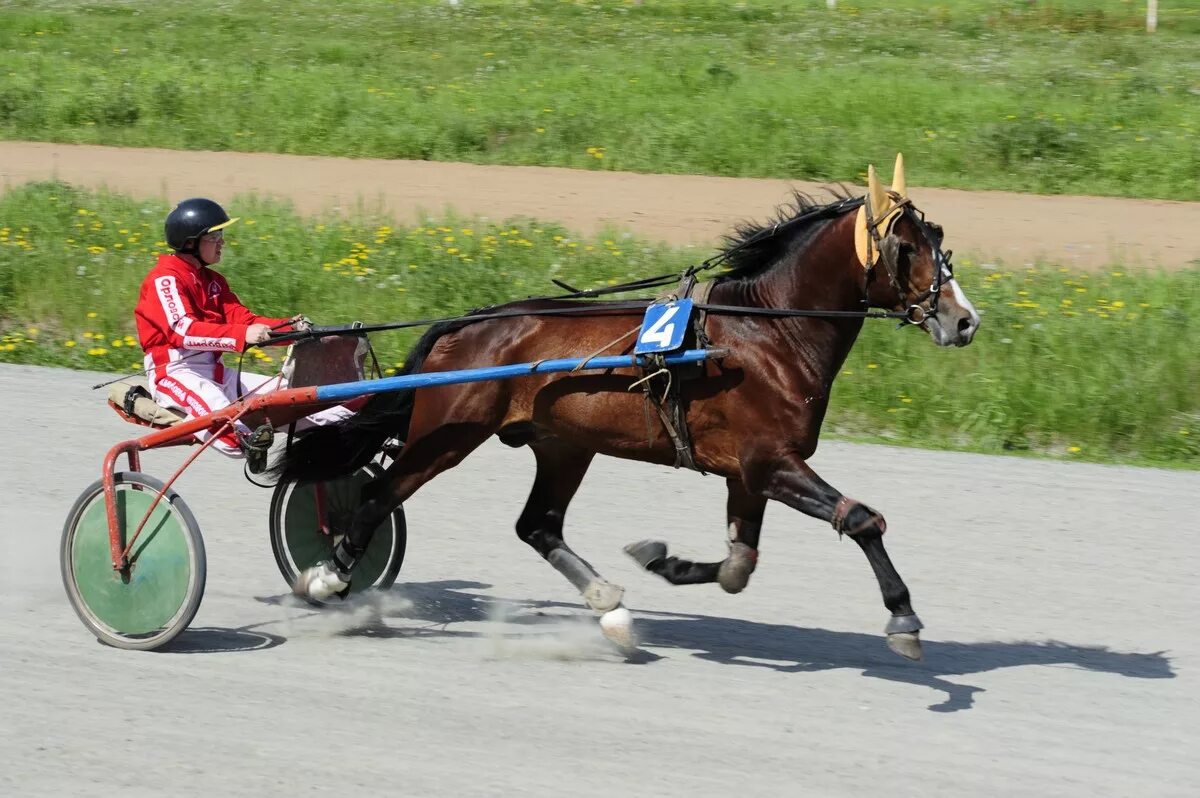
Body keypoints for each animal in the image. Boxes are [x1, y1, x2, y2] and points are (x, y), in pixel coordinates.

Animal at [276, 156, 979, 657]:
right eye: (906, 248)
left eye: (939, 236)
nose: (964, 320)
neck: (767, 334)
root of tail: (464, 325)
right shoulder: (769, 461)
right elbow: (860, 519)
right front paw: (903, 616)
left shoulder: (750, 471)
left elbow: (739, 565)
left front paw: (661, 560)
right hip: (446, 435)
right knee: (377, 497)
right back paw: (327, 579)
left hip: (563, 444)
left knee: (538, 525)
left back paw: (609, 604)